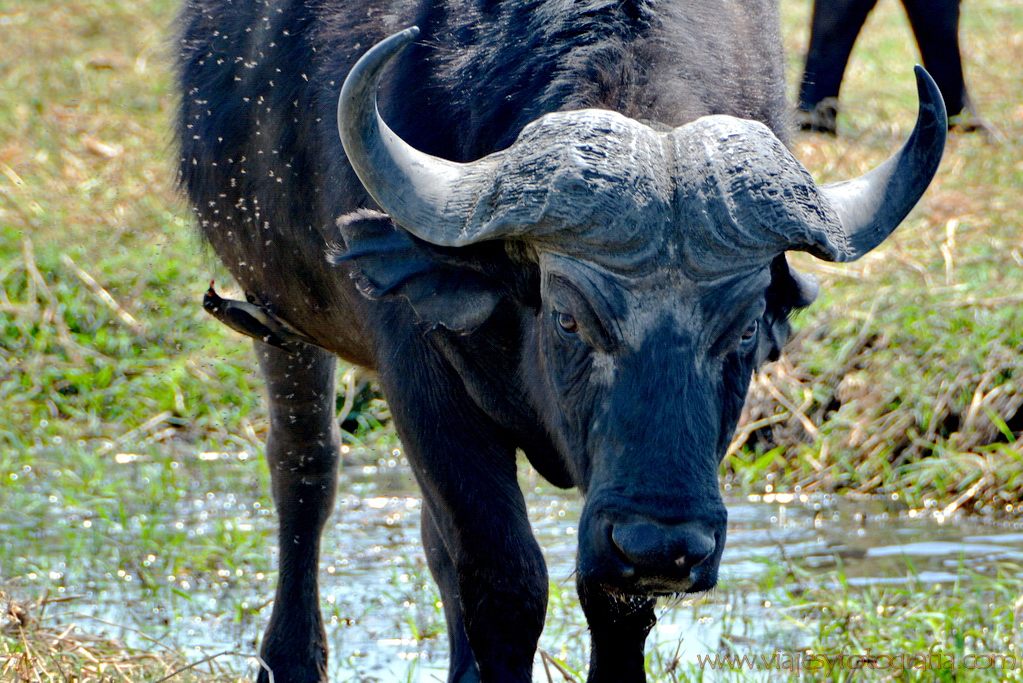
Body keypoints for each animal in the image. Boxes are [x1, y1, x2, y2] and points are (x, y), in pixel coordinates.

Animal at [175, 2, 941, 678]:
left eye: (747, 326)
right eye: (568, 318)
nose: (662, 547)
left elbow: (610, 602)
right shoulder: (419, 372)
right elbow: (505, 578)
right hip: (276, 316)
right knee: (306, 468)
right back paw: (290, 658)